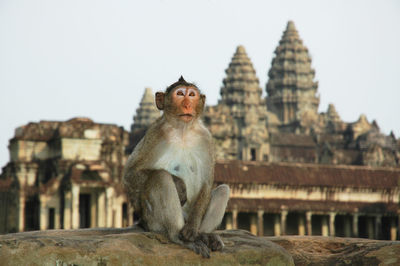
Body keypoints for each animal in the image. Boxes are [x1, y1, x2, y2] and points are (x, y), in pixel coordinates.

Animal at [122, 75, 230, 258]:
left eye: (192, 95)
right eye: (180, 94)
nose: (187, 105)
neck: (183, 130)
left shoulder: (206, 138)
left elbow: (207, 183)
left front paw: (193, 230)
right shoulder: (155, 133)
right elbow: (131, 173)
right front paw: (179, 185)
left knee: (223, 190)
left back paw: (203, 235)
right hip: (154, 222)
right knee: (160, 176)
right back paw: (179, 238)